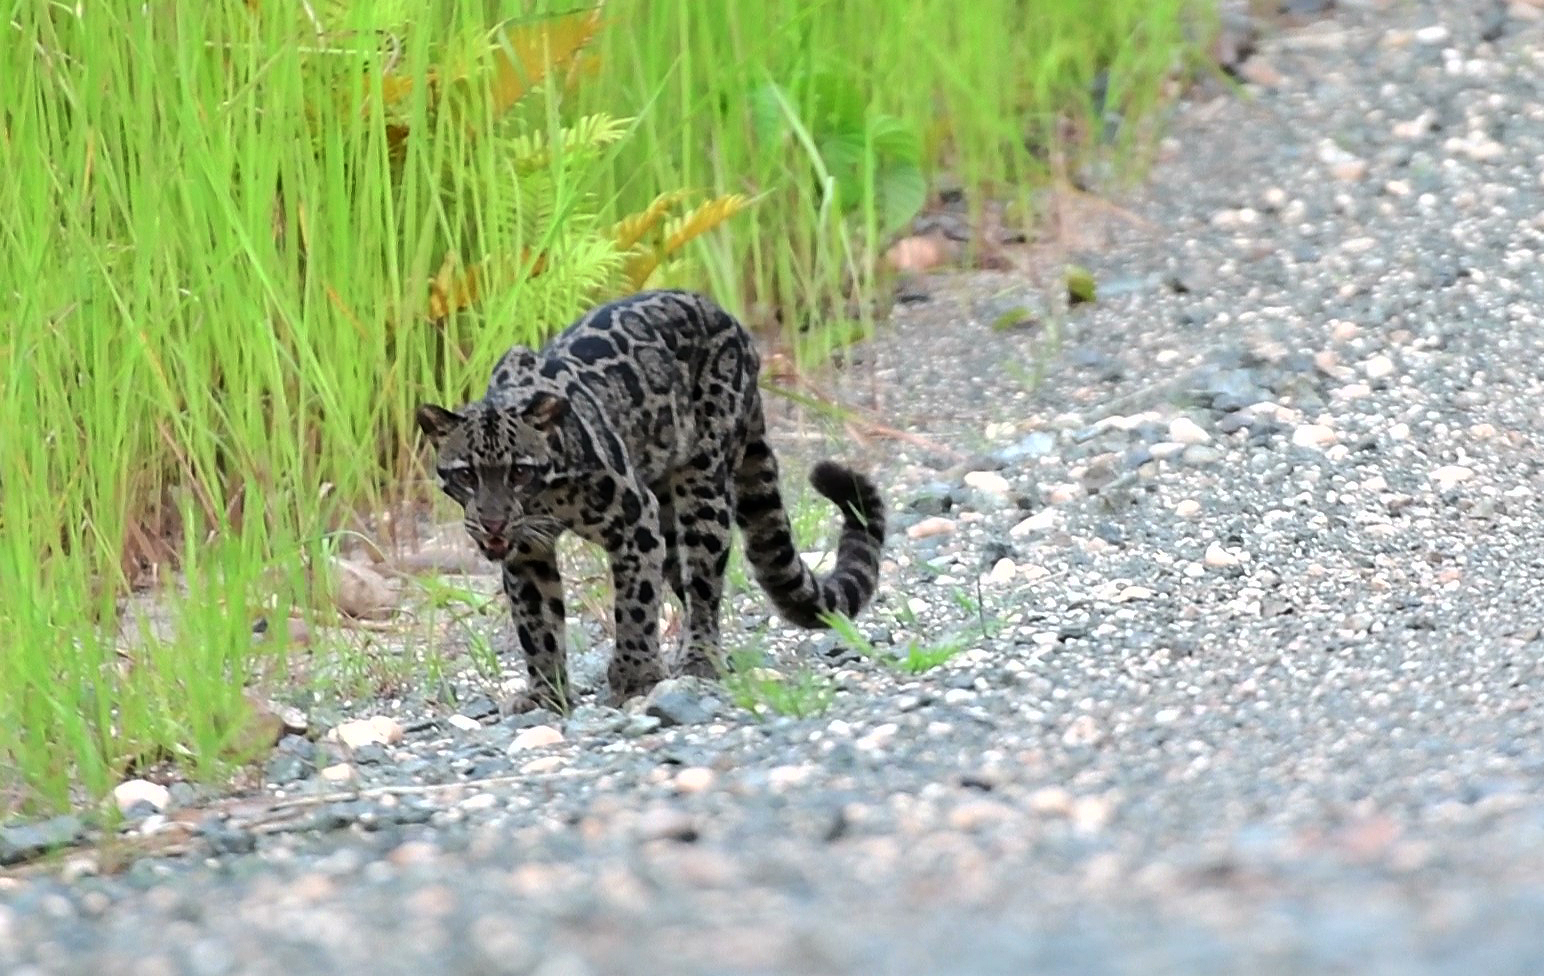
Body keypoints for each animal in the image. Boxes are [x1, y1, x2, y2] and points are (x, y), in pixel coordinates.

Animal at [416, 289, 886, 713]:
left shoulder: (633, 520)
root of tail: (734, 325)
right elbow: (537, 625)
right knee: (685, 583)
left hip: (703, 490)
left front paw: (636, 678)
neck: (548, 498)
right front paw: (547, 694)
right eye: (466, 475)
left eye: (519, 472)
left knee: (704, 588)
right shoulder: (527, 554)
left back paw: (698, 661)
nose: (492, 522)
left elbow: (635, 606)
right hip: (668, 517)